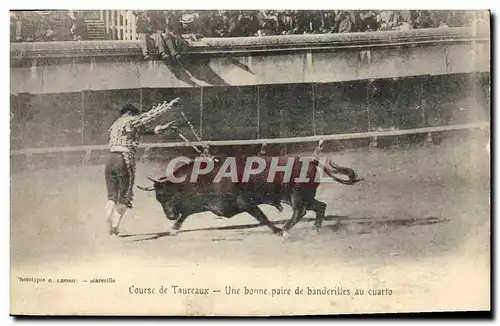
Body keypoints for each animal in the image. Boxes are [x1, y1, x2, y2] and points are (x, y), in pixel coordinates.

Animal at [138, 155, 364, 237]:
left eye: (166, 194)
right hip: (306, 196)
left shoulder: (244, 204)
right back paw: (316, 230)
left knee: (300, 212)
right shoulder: (211, 206)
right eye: (158, 198)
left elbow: (262, 217)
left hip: (297, 197)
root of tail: (310, 160)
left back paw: (286, 230)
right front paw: (174, 229)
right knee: (320, 207)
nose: (168, 215)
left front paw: (277, 231)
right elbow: (187, 213)